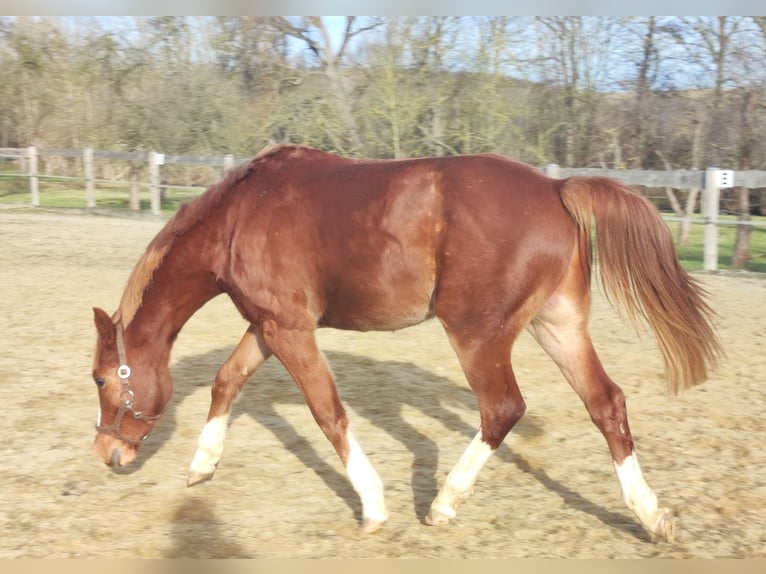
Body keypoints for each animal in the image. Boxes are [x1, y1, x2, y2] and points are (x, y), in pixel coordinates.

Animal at [93, 144, 724, 544]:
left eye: (101, 379)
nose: (108, 454)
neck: (238, 218)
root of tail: (554, 186)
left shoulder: (289, 329)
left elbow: (328, 411)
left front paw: (374, 506)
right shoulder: (267, 326)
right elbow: (227, 381)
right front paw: (201, 466)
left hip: (477, 335)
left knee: (503, 408)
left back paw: (443, 504)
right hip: (558, 325)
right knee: (606, 404)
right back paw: (651, 516)